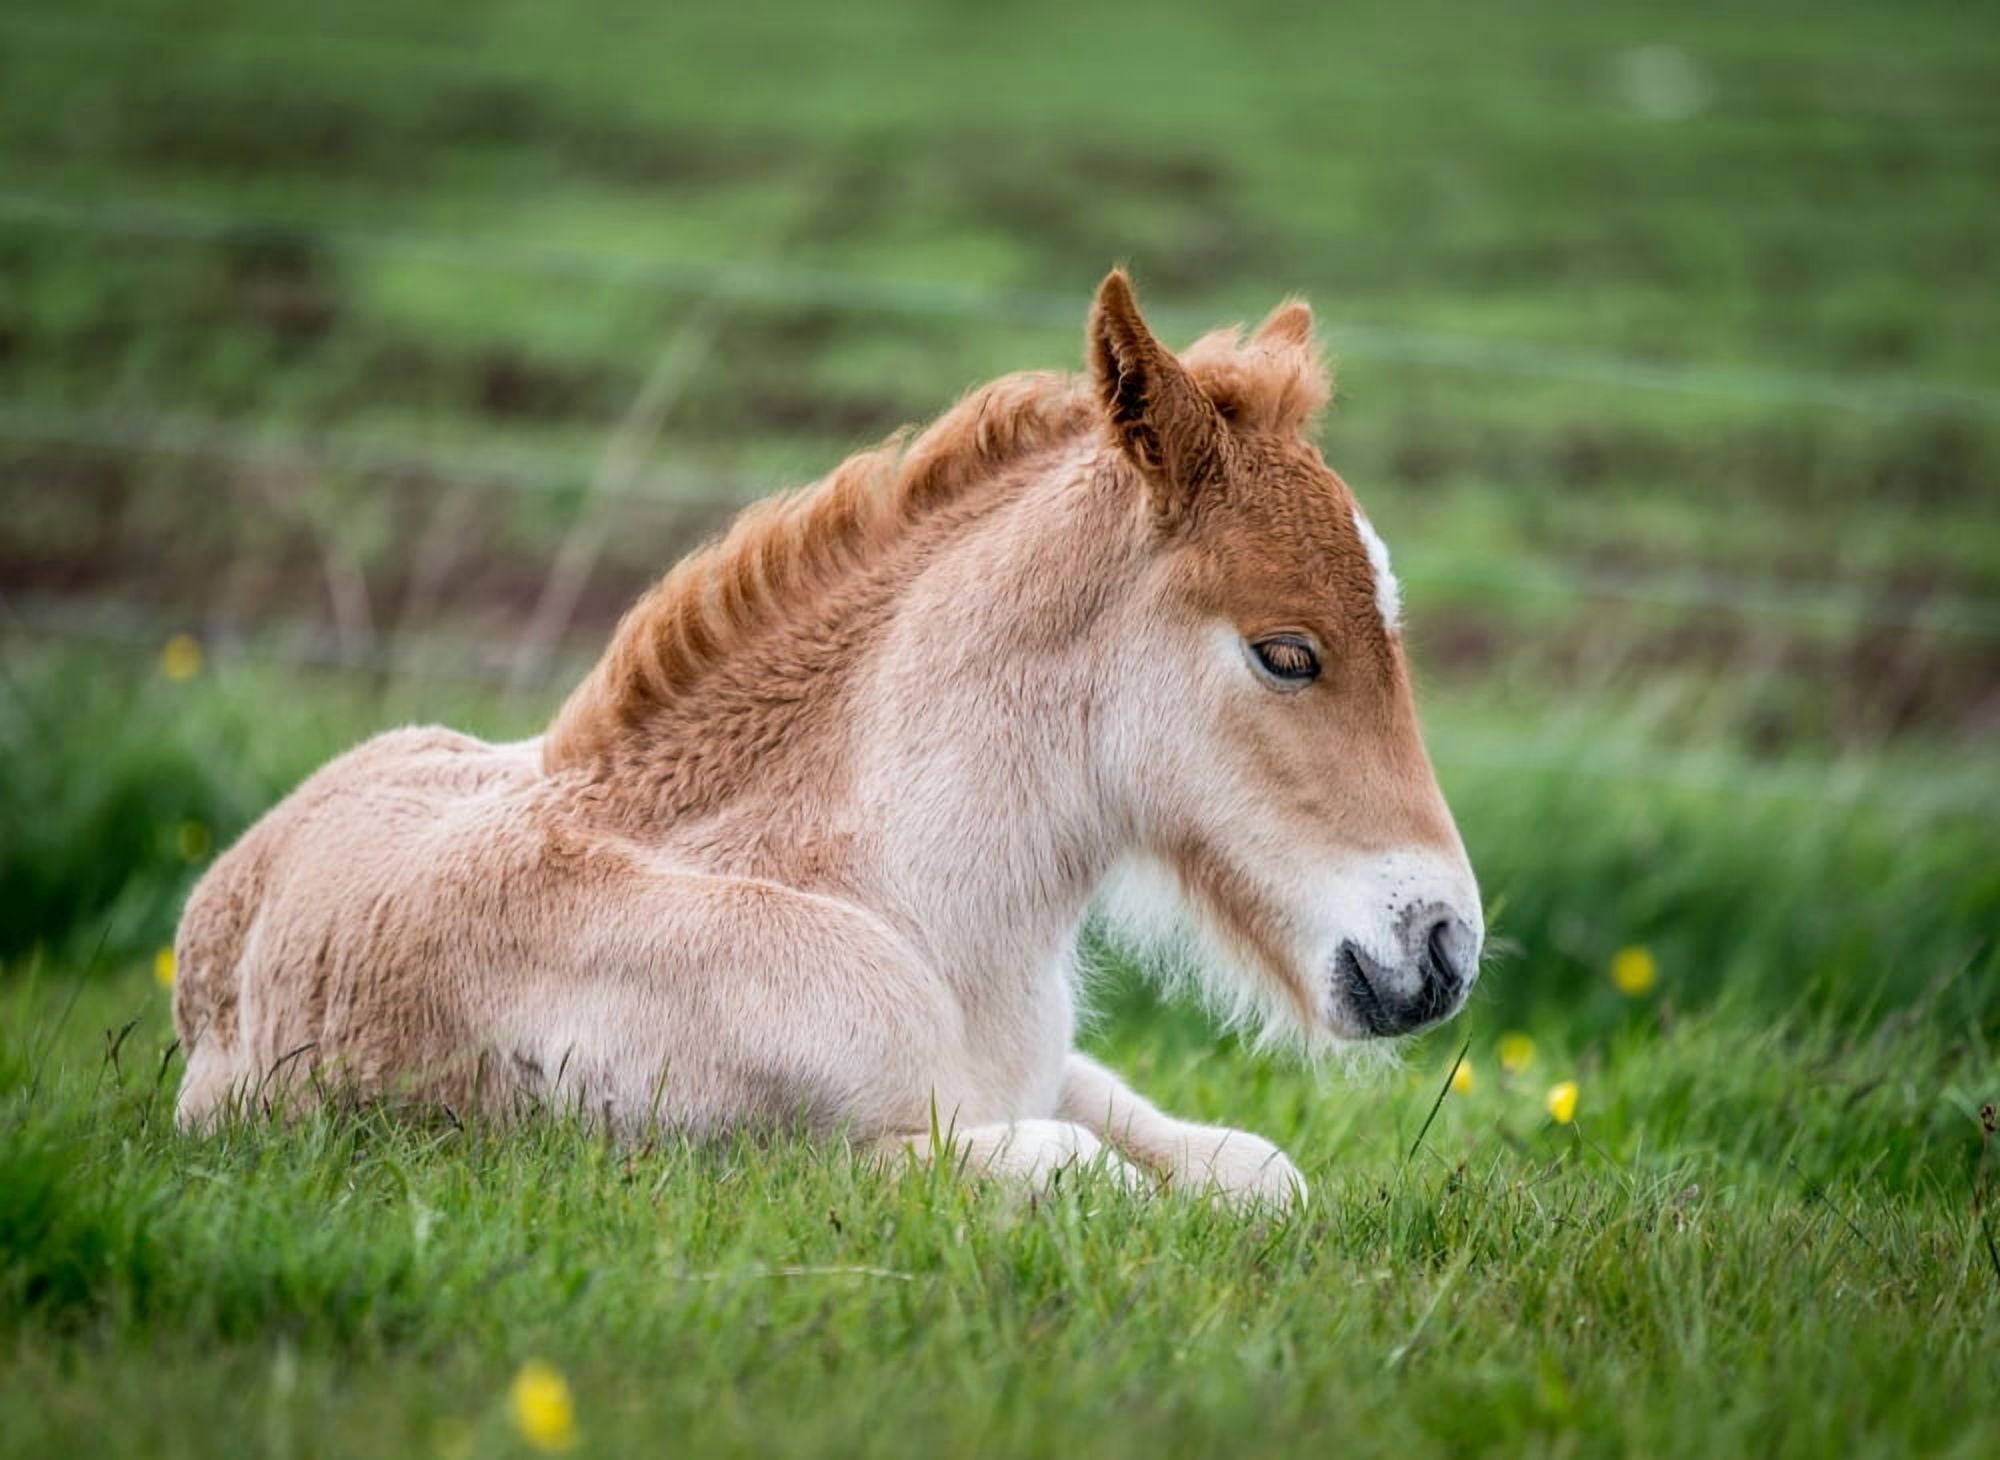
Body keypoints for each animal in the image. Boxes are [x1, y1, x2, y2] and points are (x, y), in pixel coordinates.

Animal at [171, 269, 1483, 1208]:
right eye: (1286, 652)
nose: (1444, 949)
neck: (896, 908)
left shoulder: (1052, 1070)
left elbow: (1260, 1172)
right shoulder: (731, 1154)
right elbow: (1082, 1173)